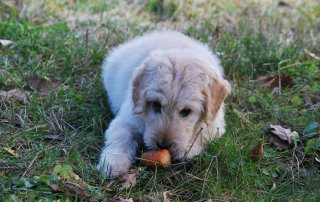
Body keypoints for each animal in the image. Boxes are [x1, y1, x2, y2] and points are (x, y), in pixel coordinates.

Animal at [97, 30, 230, 178]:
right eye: (156, 105)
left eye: (185, 111)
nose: (163, 145)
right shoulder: (127, 118)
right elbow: (121, 136)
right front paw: (113, 162)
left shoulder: (215, 123)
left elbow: (201, 134)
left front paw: (187, 149)